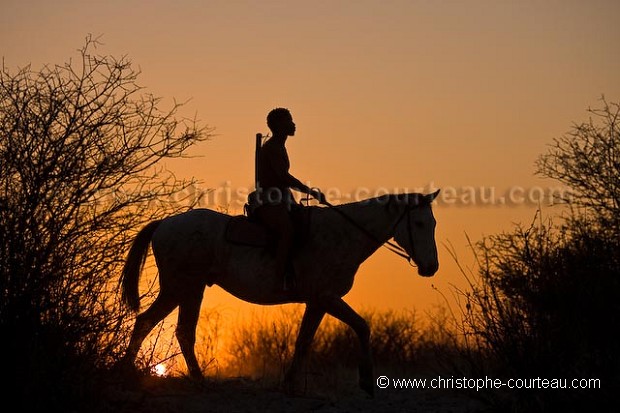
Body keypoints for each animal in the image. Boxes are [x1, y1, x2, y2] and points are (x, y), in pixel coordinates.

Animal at [120, 189, 440, 392]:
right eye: (419, 222)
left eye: (433, 223)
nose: (431, 267)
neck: (343, 234)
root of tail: (165, 224)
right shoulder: (326, 297)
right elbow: (361, 326)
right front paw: (366, 380)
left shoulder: (318, 302)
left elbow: (304, 341)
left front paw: (289, 383)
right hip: (180, 288)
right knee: (156, 324)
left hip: (190, 290)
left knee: (169, 328)